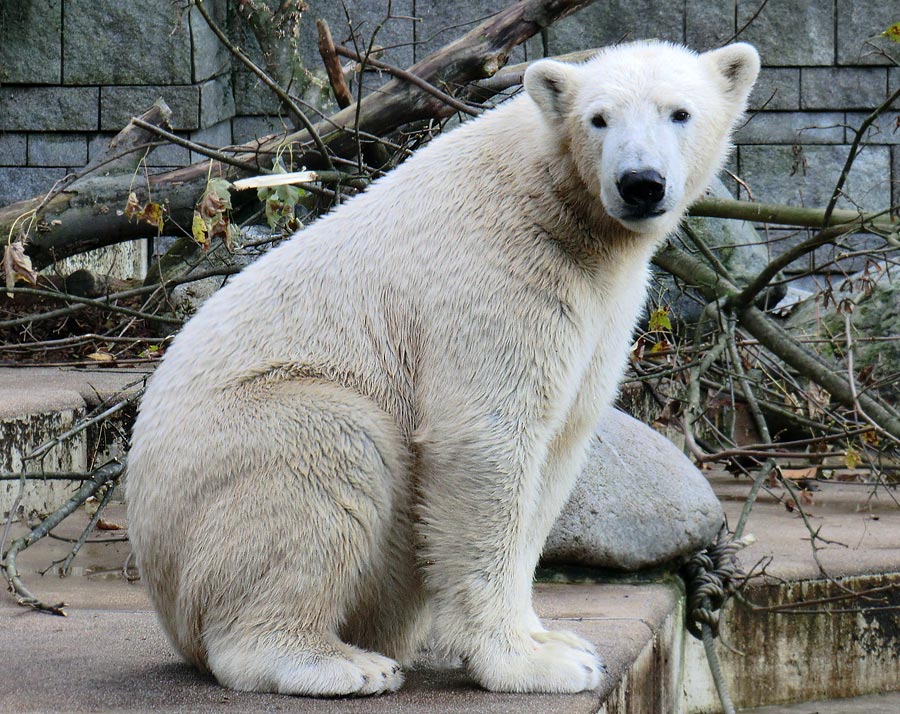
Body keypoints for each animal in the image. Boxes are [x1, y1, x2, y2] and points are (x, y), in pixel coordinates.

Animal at [126, 40, 760, 696]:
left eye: (679, 113)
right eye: (599, 119)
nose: (641, 183)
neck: (552, 200)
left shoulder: (599, 308)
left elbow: (558, 448)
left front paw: (559, 641)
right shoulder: (496, 275)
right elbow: (485, 439)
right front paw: (528, 664)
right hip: (233, 452)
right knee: (330, 449)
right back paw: (338, 661)